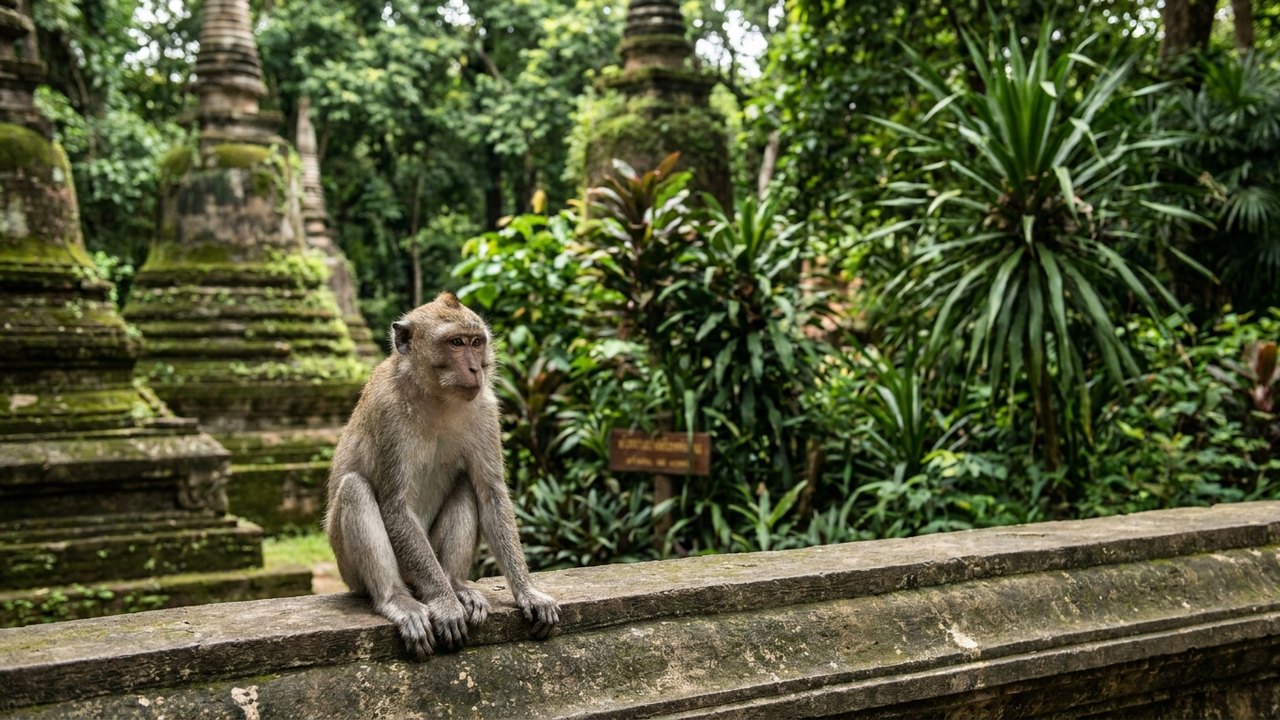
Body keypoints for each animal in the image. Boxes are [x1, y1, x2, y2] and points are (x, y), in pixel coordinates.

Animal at [325, 291, 560, 659]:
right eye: (456, 342)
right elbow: (395, 505)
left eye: (477, 342)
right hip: (350, 570)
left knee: (466, 484)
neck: (437, 397)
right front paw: (445, 606)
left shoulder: (486, 409)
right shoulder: (386, 412)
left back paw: (455, 584)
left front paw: (527, 591)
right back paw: (400, 598)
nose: (475, 368)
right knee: (354, 488)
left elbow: (491, 492)